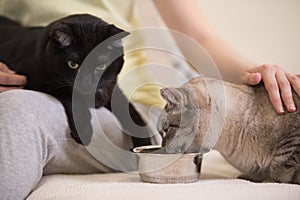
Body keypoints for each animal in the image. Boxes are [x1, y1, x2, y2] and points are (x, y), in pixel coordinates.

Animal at [0, 13, 151, 146]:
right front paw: (83, 131)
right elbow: (73, 97)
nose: (86, 83)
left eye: (101, 66)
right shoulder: (34, 79)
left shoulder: (112, 88)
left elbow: (131, 111)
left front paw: (145, 144)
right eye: (73, 64)